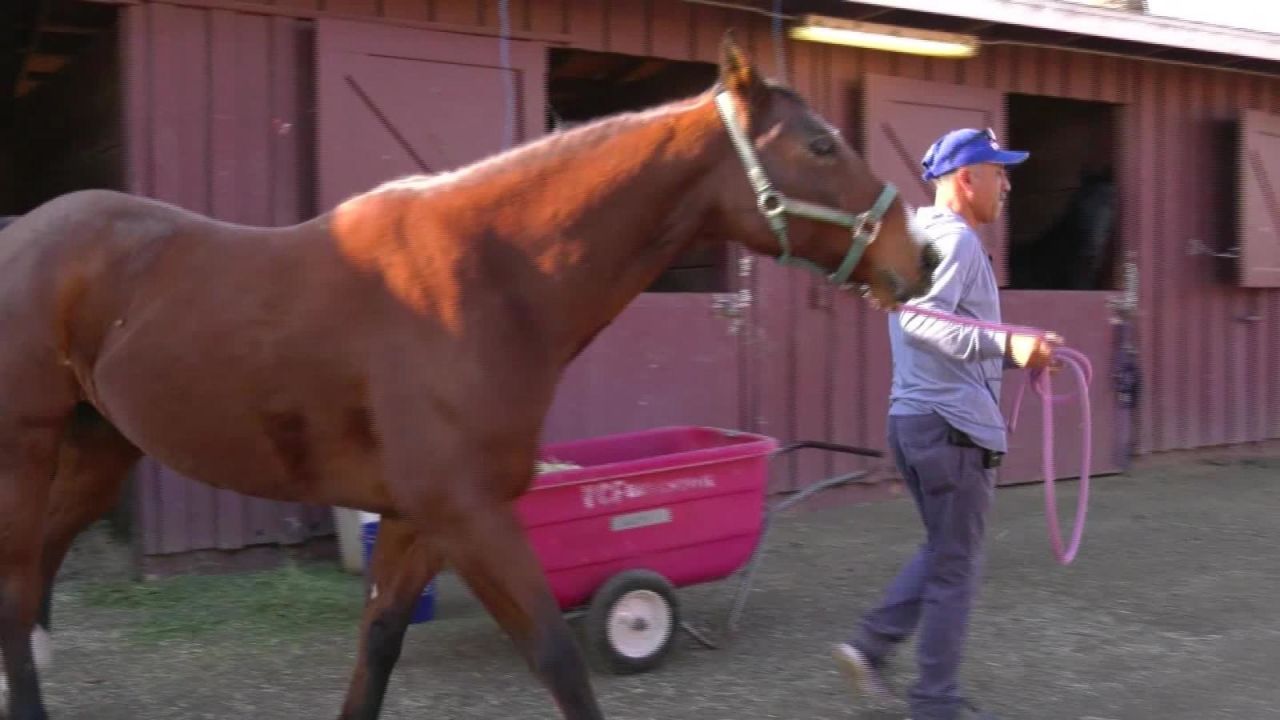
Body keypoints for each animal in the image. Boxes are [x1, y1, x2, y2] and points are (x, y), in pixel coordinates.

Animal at [0, 35, 942, 717]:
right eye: (820, 144)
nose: (920, 259)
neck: (489, 279)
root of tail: (24, 230)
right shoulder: (473, 517)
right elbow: (559, 661)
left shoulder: (418, 521)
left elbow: (376, 651)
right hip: (28, 454)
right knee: (15, 592)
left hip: (100, 449)